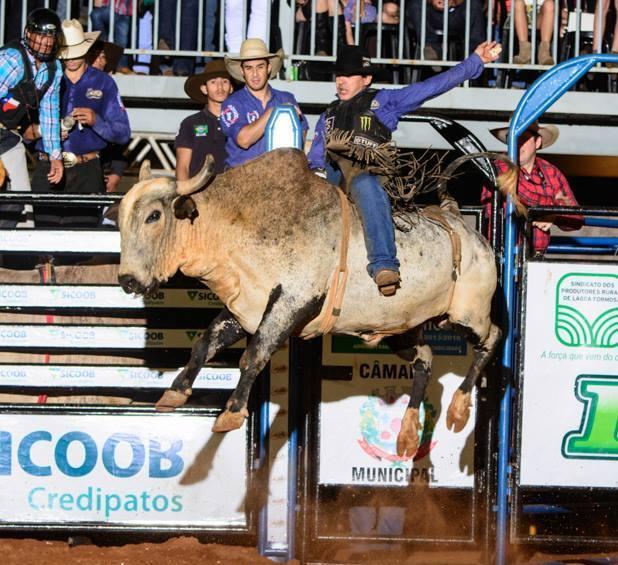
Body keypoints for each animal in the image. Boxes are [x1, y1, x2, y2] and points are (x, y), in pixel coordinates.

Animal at [116, 147, 516, 458]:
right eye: (119, 219)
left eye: (154, 216)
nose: (127, 280)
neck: (238, 226)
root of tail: (456, 218)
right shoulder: (246, 308)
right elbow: (205, 342)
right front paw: (174, 392)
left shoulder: (292, 302)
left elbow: (255, 353)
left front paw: (231, 412)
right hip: (402, 328)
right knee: (425, 359)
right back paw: (406, 434)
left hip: (466, 314)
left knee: (493, 337)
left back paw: (459, 409)